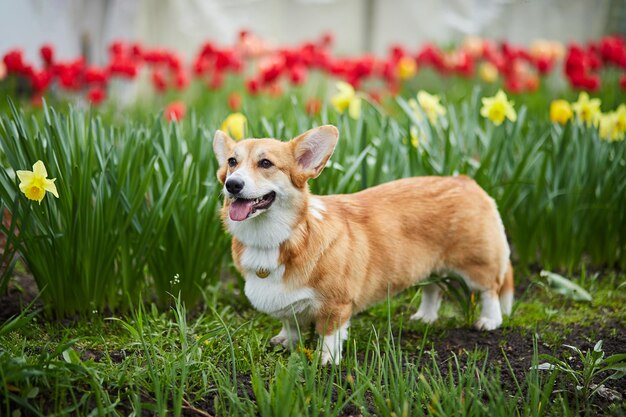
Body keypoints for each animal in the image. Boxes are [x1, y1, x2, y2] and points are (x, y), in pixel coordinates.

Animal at [212, 125, 516, 362]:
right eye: (232, 162)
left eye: (266, 164)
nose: (232, 185)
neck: (280, 238)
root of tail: (466, 181)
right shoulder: (285, 301)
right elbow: (291, 322)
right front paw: (286, 340)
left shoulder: (336, 304)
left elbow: (329, 334)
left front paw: (326, 361)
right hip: (427, 265)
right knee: (434, 289)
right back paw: (425, 317)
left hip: (475, 265)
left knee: (490, 289)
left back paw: (489, 320)